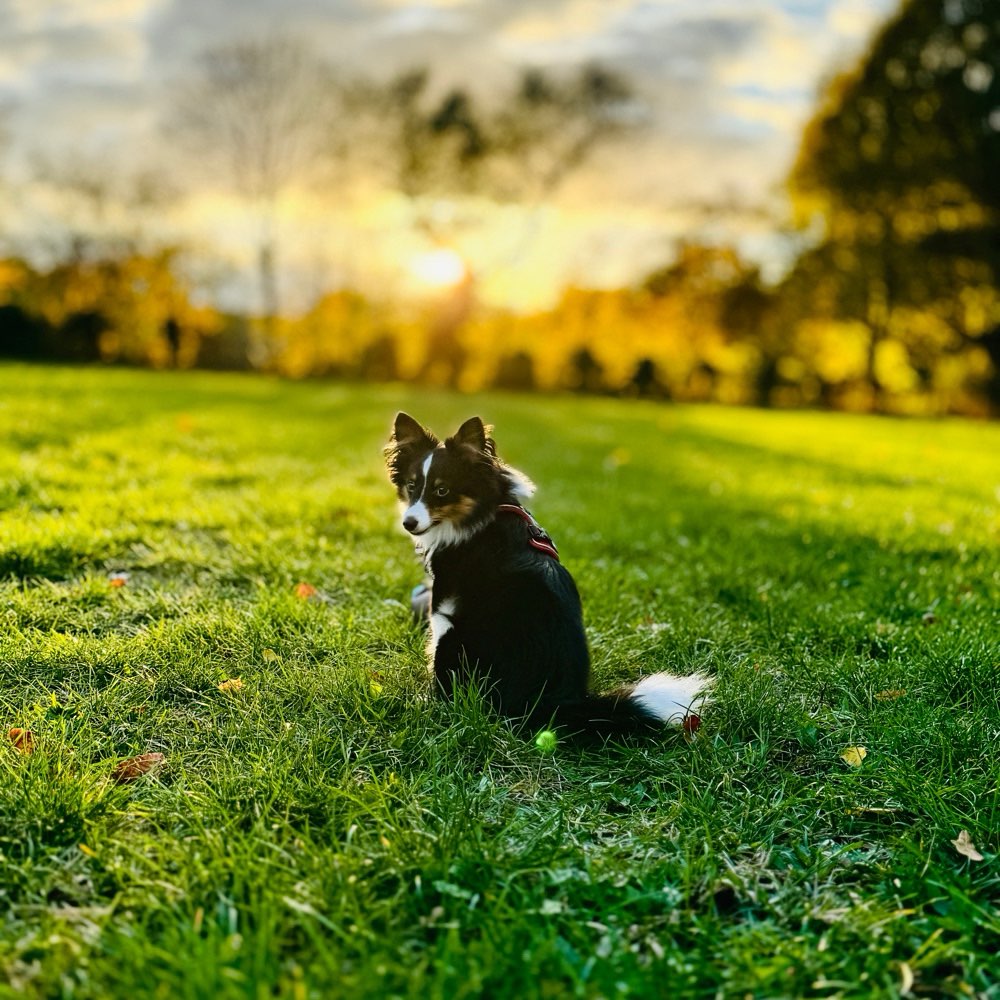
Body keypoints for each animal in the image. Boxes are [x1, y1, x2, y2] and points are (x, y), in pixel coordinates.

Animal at [384, 408, 712, 744]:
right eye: (411, 486)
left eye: (442, 490)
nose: (409, 523)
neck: (482, 514)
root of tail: (552, 705)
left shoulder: (443, 605)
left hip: (454, 638)